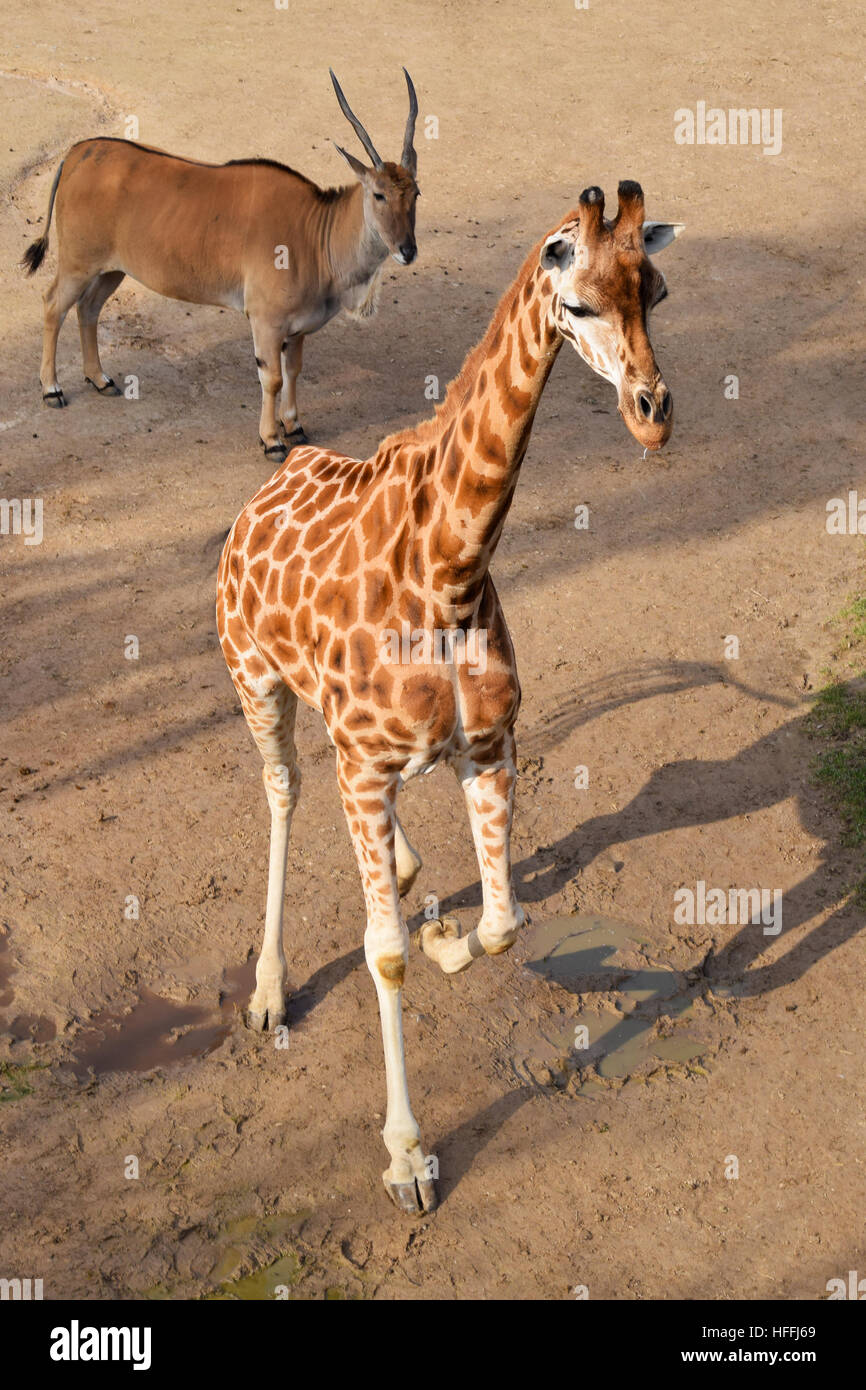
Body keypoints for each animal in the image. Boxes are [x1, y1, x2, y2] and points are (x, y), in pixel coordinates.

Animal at [22, 70, 422, 464]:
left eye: (415, 193)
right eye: (379, 194)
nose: (407, 250)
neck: (313, 230)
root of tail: (77, 152)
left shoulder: (295, 331)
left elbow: (294, 371)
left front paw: (294, 427)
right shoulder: (265, 322)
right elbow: (273, 379)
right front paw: (272, 441)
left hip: (111, 270)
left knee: (88, 309)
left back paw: (100, 379)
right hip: (78, 265)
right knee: (53, 305)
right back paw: (51, 389)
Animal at [215, 182, 683, 1206]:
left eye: (657, 291)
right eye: (579, 303)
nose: (652, 415)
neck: (450, 569)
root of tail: (268, 486)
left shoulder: (489, 747)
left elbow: (506, 924)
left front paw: (445, 938)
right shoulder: (365, 764)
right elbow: (382, 955)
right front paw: (406, 1160)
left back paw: (403, 870)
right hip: (256, 682)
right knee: (282, 793)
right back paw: (268, 990)